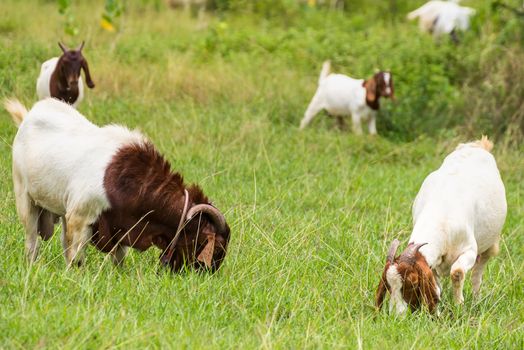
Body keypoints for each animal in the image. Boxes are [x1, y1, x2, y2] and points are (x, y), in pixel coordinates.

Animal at [3, 97, 229, 272]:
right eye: (216, 248)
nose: (206, 275)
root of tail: (29, 115)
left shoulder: (122, 227)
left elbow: (118, 260)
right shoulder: (80, 216)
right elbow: (76, 257)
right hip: (24, 197)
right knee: (32, 241)